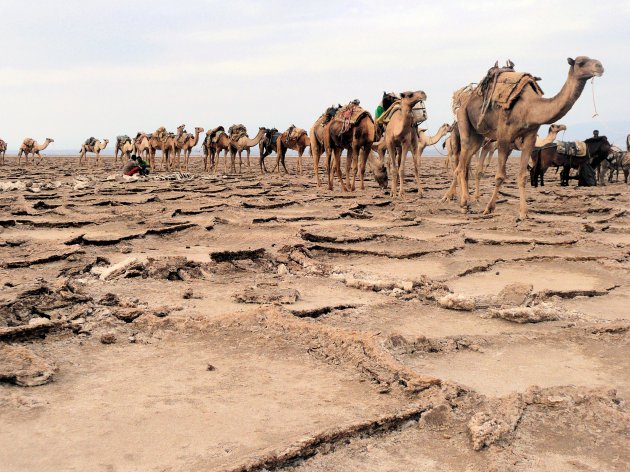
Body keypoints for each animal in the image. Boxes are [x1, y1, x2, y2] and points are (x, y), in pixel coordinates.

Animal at [444, 56, 608, 218]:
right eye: (581, 62)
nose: (600, 66)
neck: (530, 108)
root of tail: (464, 99)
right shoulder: (503, 137)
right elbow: (500, 176)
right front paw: (489, 208)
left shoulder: (529, 138)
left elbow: (523, 176)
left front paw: (523, 213)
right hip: (463, 121)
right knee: (461, 164)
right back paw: (463, 202)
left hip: (479, 136)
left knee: (466, 163)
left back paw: (461, 198)